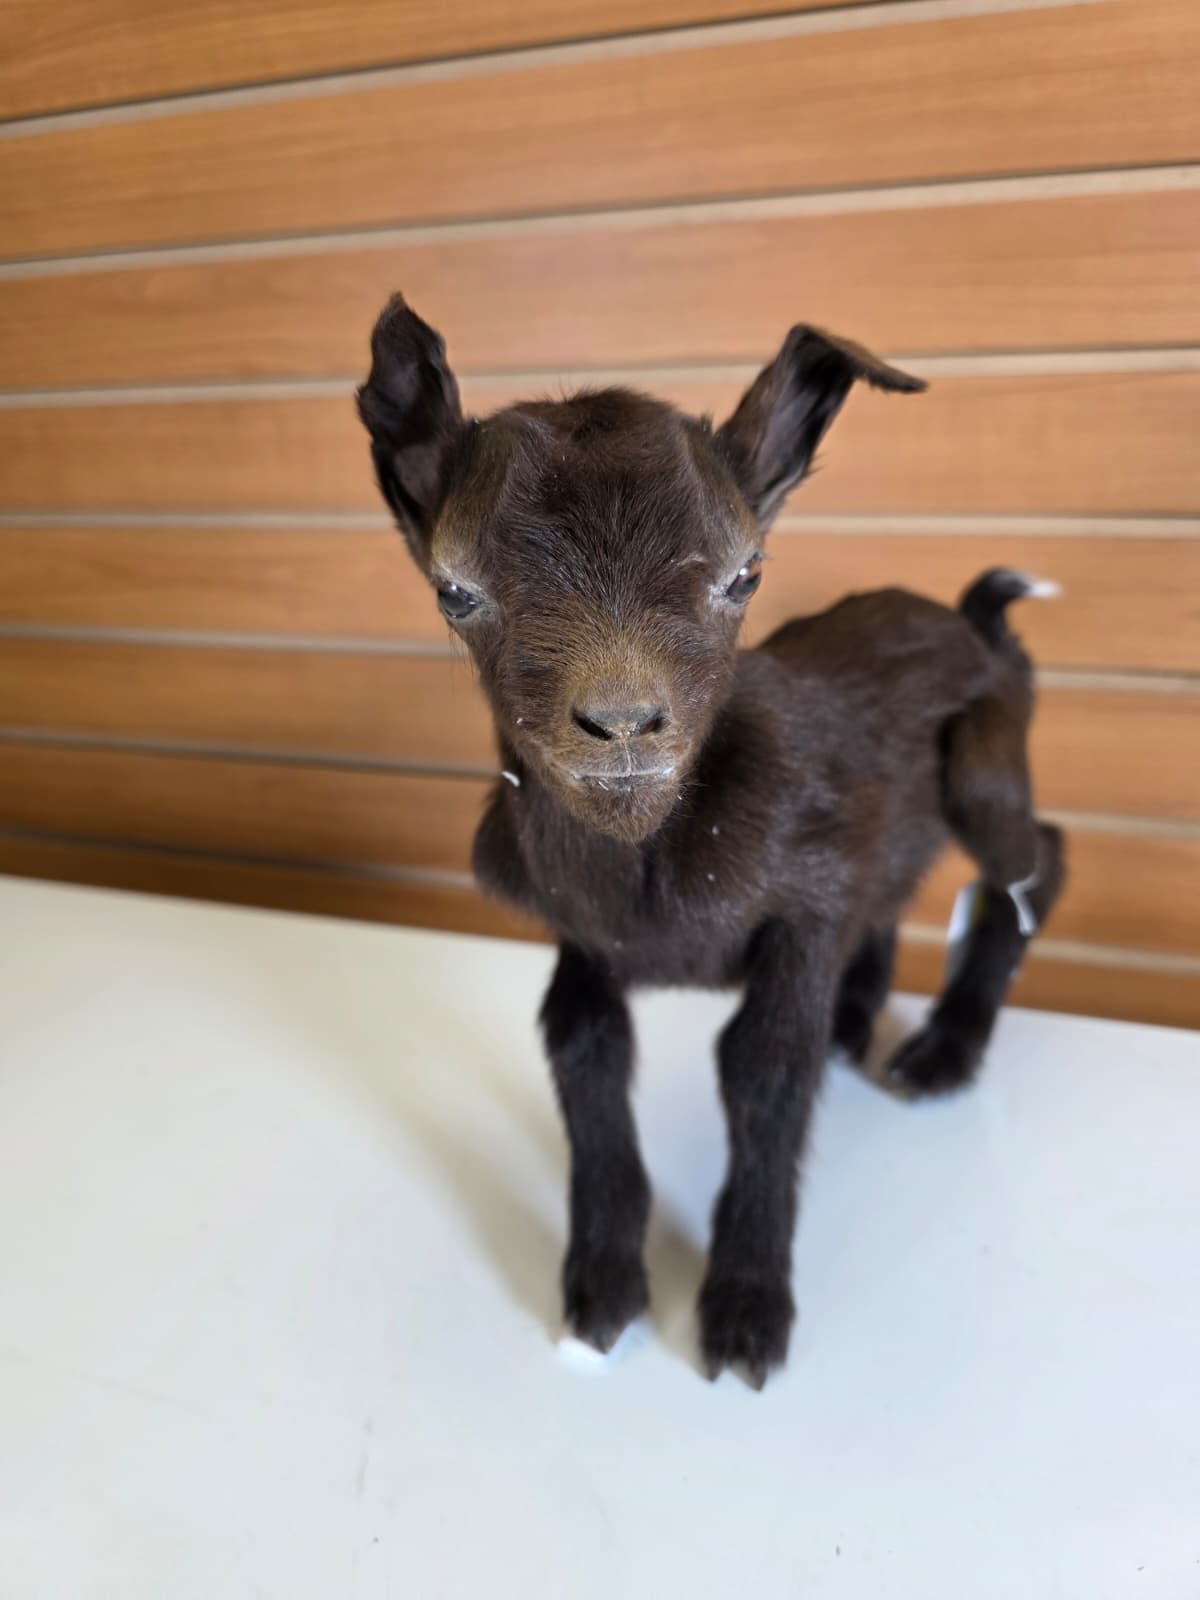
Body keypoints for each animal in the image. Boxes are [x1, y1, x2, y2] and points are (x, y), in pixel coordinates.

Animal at [357, 296, 1066, 1387]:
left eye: (745, 574)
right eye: (453, 590)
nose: (621, 722)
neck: (652, 861)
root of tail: (975, 623)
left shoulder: (802, 901)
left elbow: (765, 1068)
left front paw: (744, 1311)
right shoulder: (584, 936)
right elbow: (583, 1050)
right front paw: (603, 1290)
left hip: (989, 764)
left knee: (1031, 862)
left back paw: (941, 1053)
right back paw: (861, 1019)